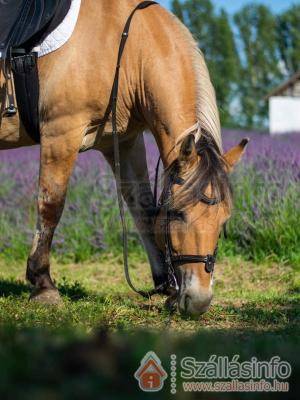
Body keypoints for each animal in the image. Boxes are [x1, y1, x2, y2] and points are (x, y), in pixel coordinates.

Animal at [0, 0, 248, 318]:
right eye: (178, 214)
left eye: (224, 220)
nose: (199, 301)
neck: (126, 48)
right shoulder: (61, 132)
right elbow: (51, 205)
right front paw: (43, 284)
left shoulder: (126, 142)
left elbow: (143, 208)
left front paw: (167, 286)